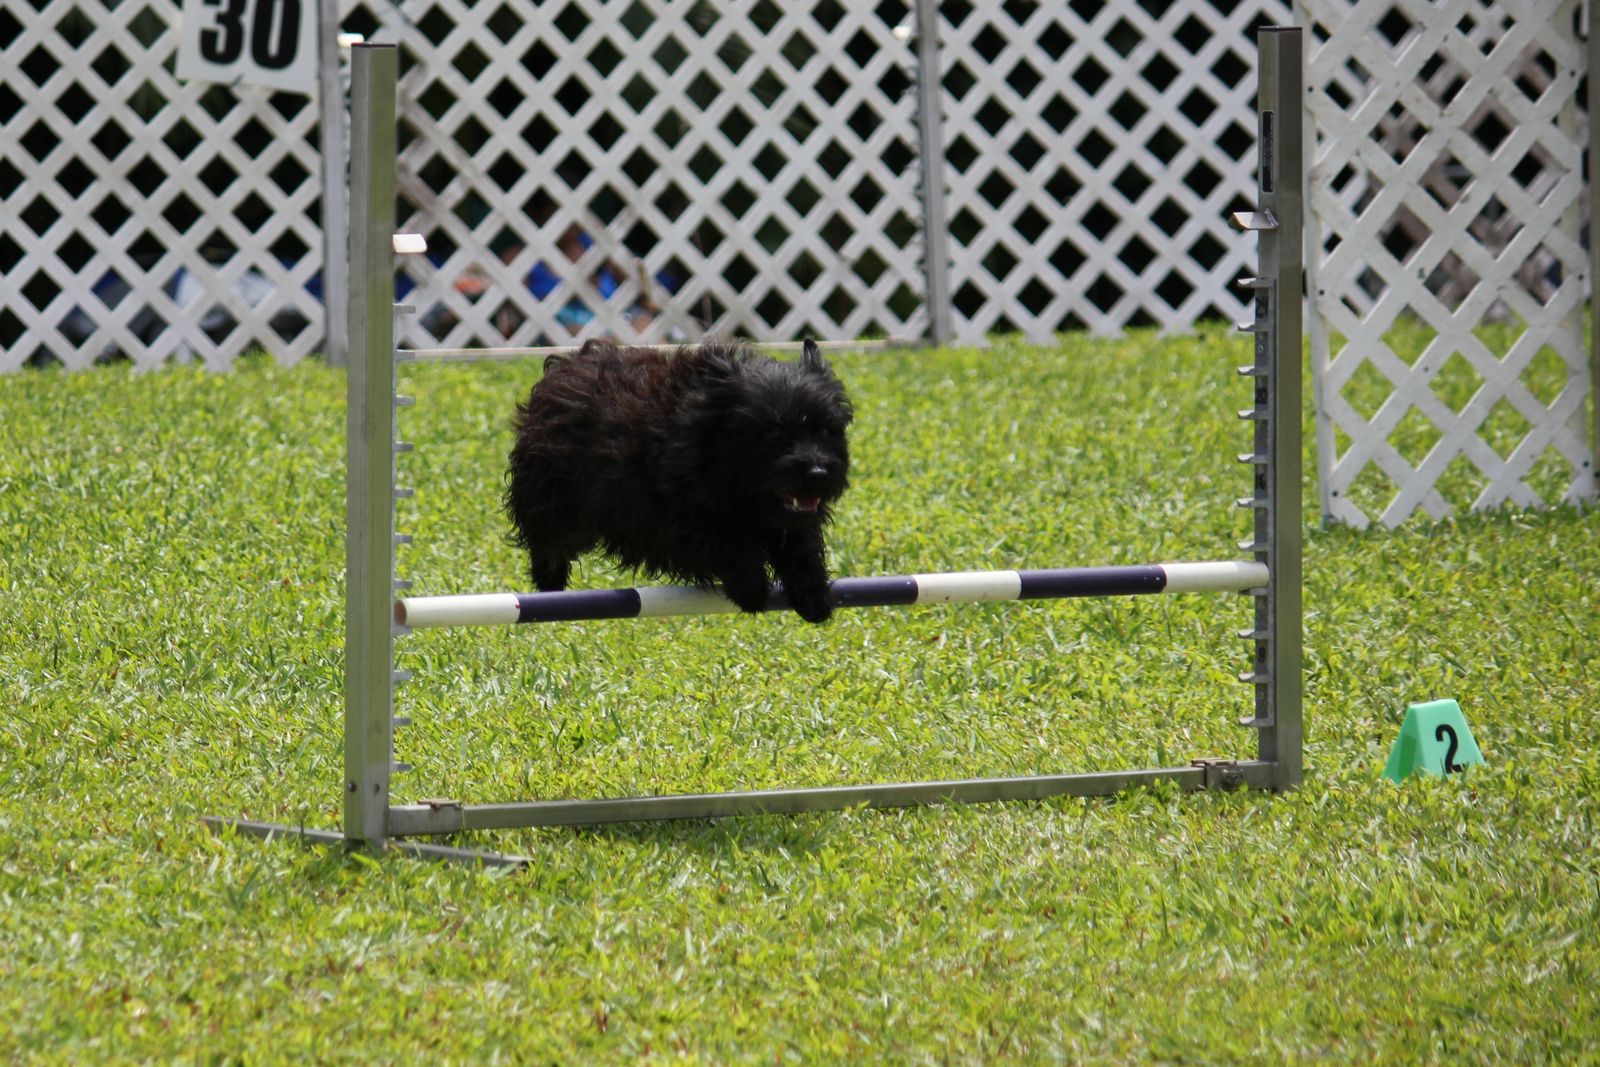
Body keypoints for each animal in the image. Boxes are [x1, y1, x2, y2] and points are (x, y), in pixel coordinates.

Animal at [504, 337, 852, 623]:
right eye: (774, 434)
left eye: (826, 430)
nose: (818, 474)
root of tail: (568, 363)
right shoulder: (674, 515)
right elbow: (728, 541)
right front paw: (751, 588)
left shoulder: (791, 519)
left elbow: (801, 545)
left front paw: (812, 595)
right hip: (555, 497)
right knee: (547, 539)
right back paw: (550, 581)